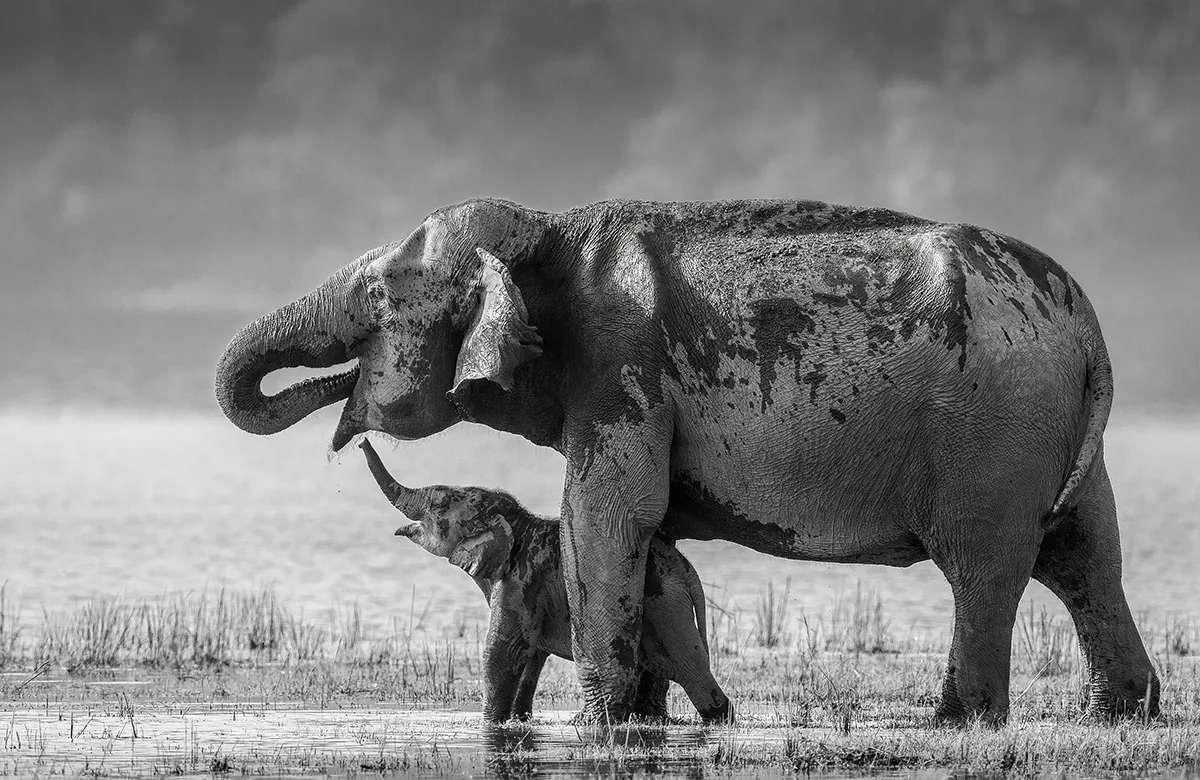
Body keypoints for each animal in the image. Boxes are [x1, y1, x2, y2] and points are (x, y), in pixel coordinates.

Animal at [358, 439, 731, 722]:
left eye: (438, 504)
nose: (361, 441)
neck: (517, 521)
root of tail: (686, 569)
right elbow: (532, 656)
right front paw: (518, 720)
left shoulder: (522, 579)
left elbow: (501, 650)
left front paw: (490, 723)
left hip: (665, 604)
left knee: (692, 671)